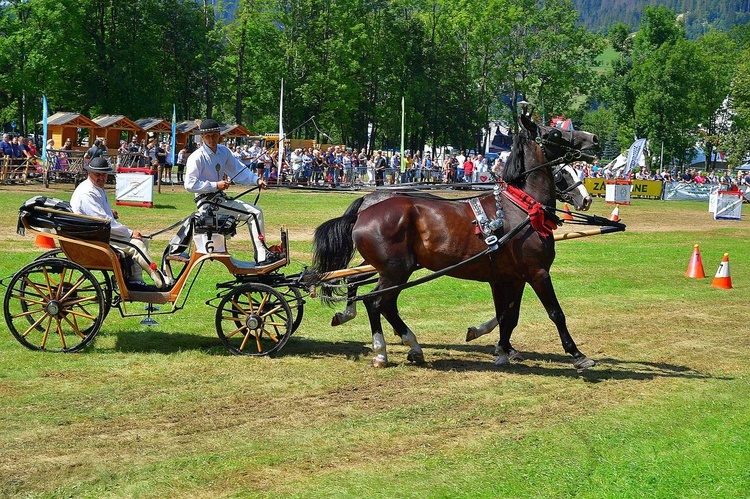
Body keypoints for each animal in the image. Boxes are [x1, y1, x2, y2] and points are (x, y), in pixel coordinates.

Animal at [310, 114, 600, 372]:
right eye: (554, 132)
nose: (594, 139)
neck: (521, 207)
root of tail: (364, 210)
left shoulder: (512, 277)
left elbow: (508, 316)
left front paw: (503, 350)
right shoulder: (537, 273)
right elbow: (555, 313)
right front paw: (577, 354)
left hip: (391, 269)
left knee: (371, 295)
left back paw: (403, 345)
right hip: (395, 270)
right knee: (376, 302)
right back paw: (386, 350)